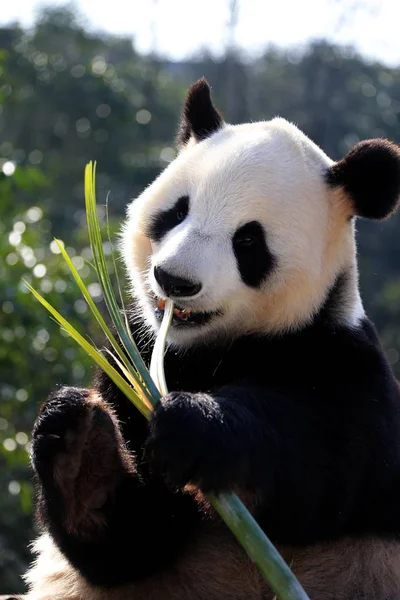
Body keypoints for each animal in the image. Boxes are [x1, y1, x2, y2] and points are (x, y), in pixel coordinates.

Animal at [22, 77, 400, 596]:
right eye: (176, 213)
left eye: (248, 241)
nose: (174, 280)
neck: (211, 350)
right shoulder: (131, 356)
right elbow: (130, 545)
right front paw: (79, 449)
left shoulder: (343, 359)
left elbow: (328, 469)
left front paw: (197, 426)